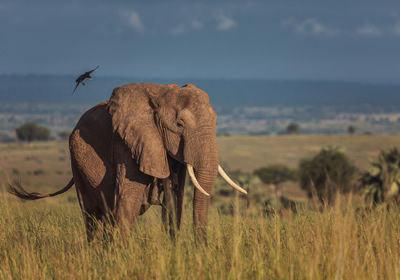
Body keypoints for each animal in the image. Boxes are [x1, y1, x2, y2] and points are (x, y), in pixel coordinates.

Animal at [9, 82, 245, 242]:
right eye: (179, 124)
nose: (200, 249)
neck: (162, 95)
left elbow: (175, 203)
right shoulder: (127, 144)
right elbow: (127, 204)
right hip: (76, 162)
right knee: (92, 215)